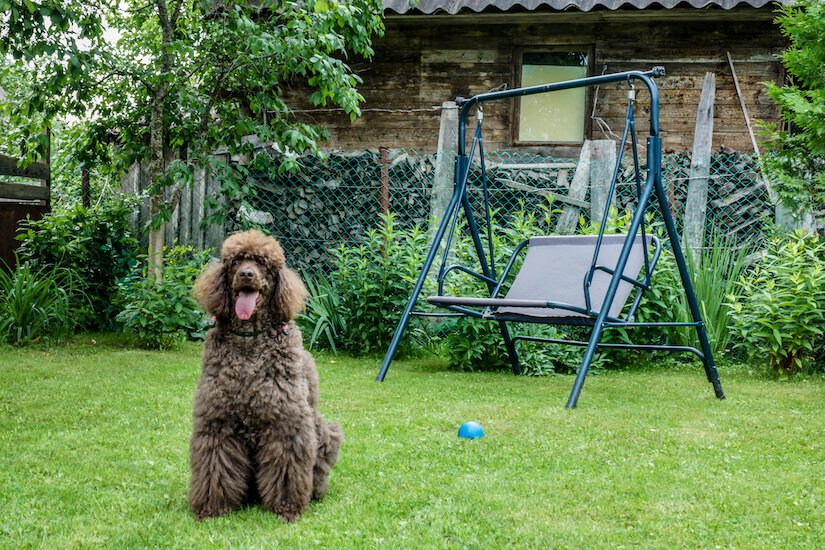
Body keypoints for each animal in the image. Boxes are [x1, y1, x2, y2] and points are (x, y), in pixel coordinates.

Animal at [188, 231, 340, 524]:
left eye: (263, 263)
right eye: (236, 262)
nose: (247, 274)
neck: (250, 344)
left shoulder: (286, 423)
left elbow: (286, 468)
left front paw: (287, 508)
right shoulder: (217, 422)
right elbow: (215, 465)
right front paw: (212, 507)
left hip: (325, 432)